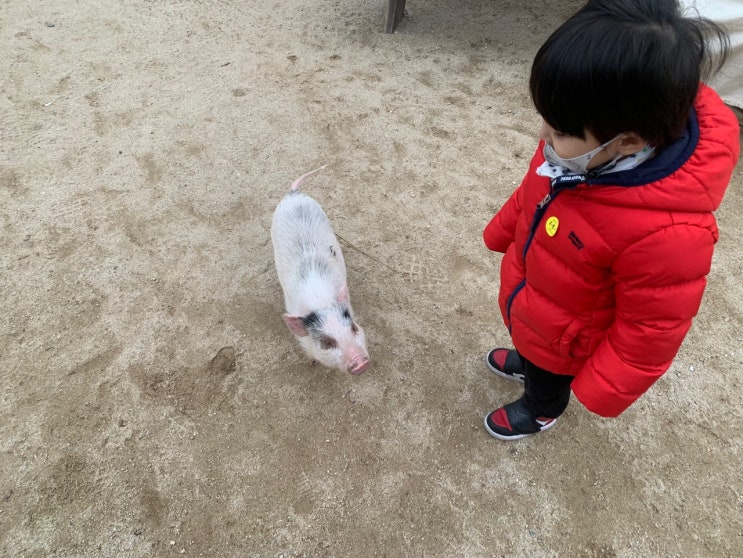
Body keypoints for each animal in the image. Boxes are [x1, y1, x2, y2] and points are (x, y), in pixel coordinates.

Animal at [272, 166, 370, 376]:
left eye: (354, 328)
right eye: (327, 342)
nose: (361, 363)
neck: (321, 300)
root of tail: (293, 194)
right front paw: (311, 363)